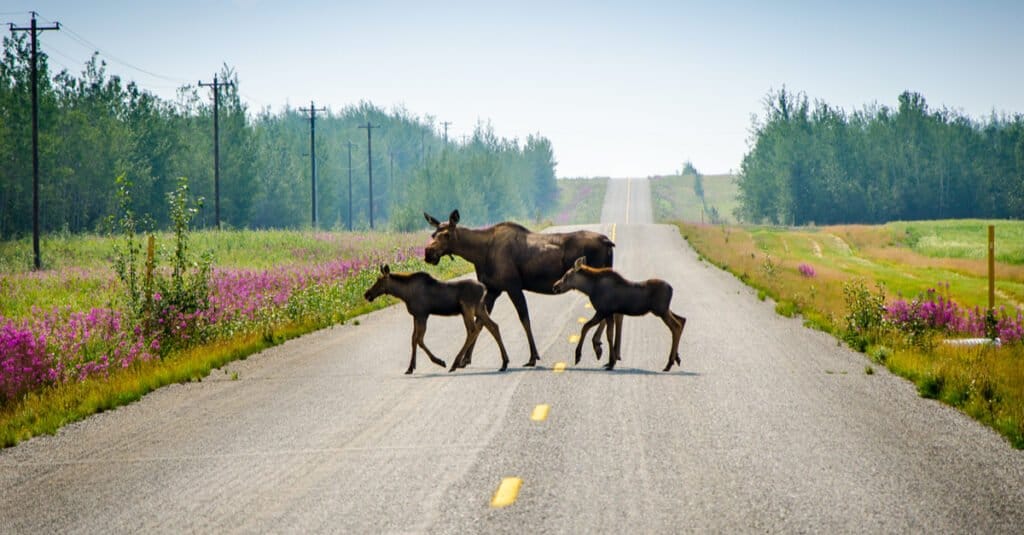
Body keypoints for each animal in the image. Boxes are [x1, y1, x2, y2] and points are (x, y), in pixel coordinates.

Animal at [362, 262, 509, 373]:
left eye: (379, 280)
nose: (367, 294)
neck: (404, 294)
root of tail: (484, 288)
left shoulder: (422, 314)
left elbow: (419, 340)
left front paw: (439, 361)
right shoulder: (416, 316)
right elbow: (413, 339)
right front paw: (410, 367)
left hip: (467, 309)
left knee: (472, 330)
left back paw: (455, 363)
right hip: (480, 309)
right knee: (493, 326)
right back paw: (504, 362)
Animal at [421, 208, 614, 366]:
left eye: (446, 234)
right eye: (433, 234)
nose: (428, 253)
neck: (478, 254)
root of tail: (608, 241)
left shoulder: (512, 286)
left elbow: (524, 319)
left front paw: (533, 357)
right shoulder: (492, 290)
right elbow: (480, 323)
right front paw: (465, 359)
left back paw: (598, 345)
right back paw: (599, 345)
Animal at [552, 257, 688, 371]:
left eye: (567, 275)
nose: (555, 286)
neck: (589, 288)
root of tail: (671, 289)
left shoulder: (603, 311)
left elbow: (588, 328)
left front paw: (579, 355)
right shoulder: (609, 313)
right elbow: (609, 334)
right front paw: (609, 360)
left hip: (661, 311)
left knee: (676, 326)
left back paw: (669, 363)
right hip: (665, 310)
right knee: (682, 320)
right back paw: (675, 359)